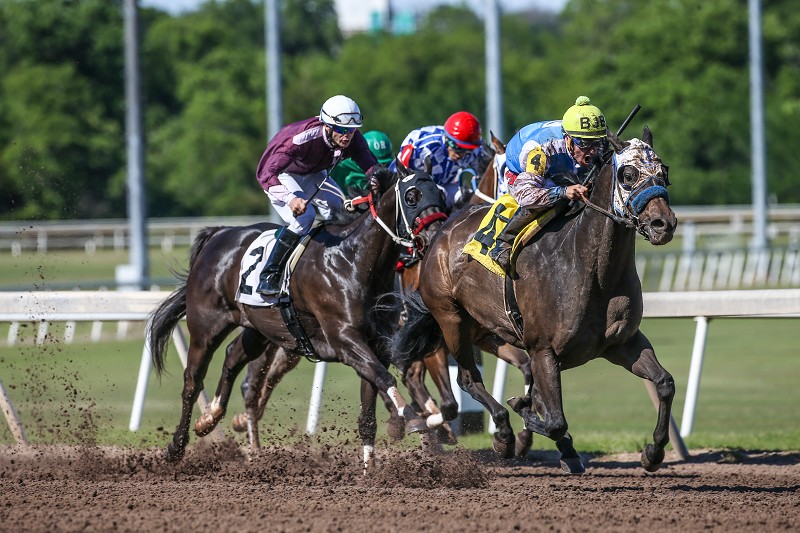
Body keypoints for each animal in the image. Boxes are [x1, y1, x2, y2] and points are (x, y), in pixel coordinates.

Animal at [147, 164, 448, 467]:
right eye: (411, 197)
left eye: (440, 193)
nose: (436, 236)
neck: (353, 261)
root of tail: (218, 234)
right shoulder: (345, 340)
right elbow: (385, 380)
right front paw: (414, 420)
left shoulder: (376, 344)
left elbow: (369, 409)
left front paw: (371, 468)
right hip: (205, 327)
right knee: (192, 381)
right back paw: (177, 446)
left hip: (259, 328)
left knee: (233, 357)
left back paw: (210, 417)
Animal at [391, 127, 678, 473]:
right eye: (628, 174)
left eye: (664, 172)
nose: (664, 223)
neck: (591, 268)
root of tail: (439, 234)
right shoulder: (543, 349)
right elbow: (554, 420)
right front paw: (523, 413)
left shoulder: (623, 343)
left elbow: (665, 383)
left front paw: (653, 452)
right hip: (450, 320)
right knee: (467, 379)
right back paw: (499, 434)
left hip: (486, 328)